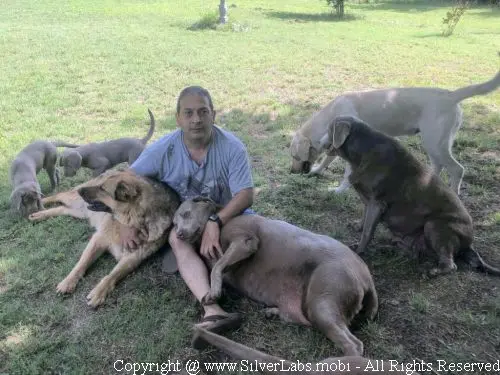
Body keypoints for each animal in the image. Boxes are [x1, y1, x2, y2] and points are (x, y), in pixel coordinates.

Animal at [174, 198, 376, 356]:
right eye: (174, 224)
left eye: (186, 214)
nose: (178, 234)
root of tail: (366, 276)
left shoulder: (245, 242)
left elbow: (217, 266)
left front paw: (213, 292)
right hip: (311, 304)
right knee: (302, 318)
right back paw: (273, 312)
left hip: (323, 299)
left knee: (353, 345)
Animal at [290, 68, 500, 197]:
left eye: (295, 156)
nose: (291, 172)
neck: (332, 113)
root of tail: (451, 94)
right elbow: (326, 159)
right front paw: (317, 171)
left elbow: (344, 172)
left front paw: (339, 190)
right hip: (433, 144)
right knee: (438, 166)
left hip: (435, 143)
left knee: (457, 169)